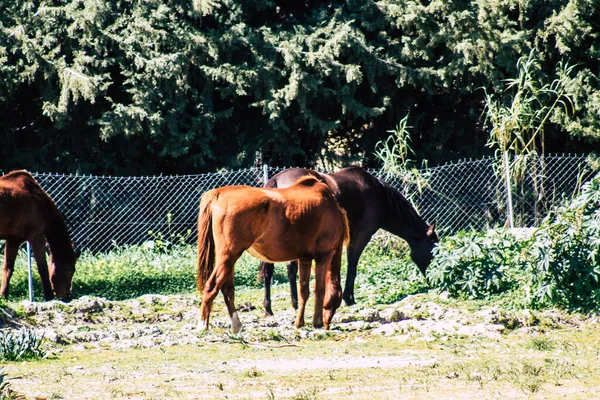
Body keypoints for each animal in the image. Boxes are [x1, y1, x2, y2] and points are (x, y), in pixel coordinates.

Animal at [0, 170, 78, 302]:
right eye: (70, 270)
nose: (67, 296)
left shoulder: (13, 240)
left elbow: (8, 267)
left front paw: (3, 295)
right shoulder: (37, 237)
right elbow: (43, 268)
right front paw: (49, 296)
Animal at [195, 177, 350, 332]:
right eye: (337, 301)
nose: (327, 323)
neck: (330, 207)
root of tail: (218, 193)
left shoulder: (304, 259)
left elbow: (303, 291)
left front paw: (299, 322)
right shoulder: (324, 256)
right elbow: (319, 289)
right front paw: (317, 322)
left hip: (229, 259)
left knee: (227, 290)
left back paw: (236, 325)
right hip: (228, 257)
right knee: (211, 287)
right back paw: (202, 325)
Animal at [258, 166, 436, 316]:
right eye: (433, 250)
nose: (434, 280)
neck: (380, 196)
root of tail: (275, 182)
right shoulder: (360, 236)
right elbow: (352, 266)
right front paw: (348, 298)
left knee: (269, 271)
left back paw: (269, 309)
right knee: (290, 268)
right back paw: (295, 305)